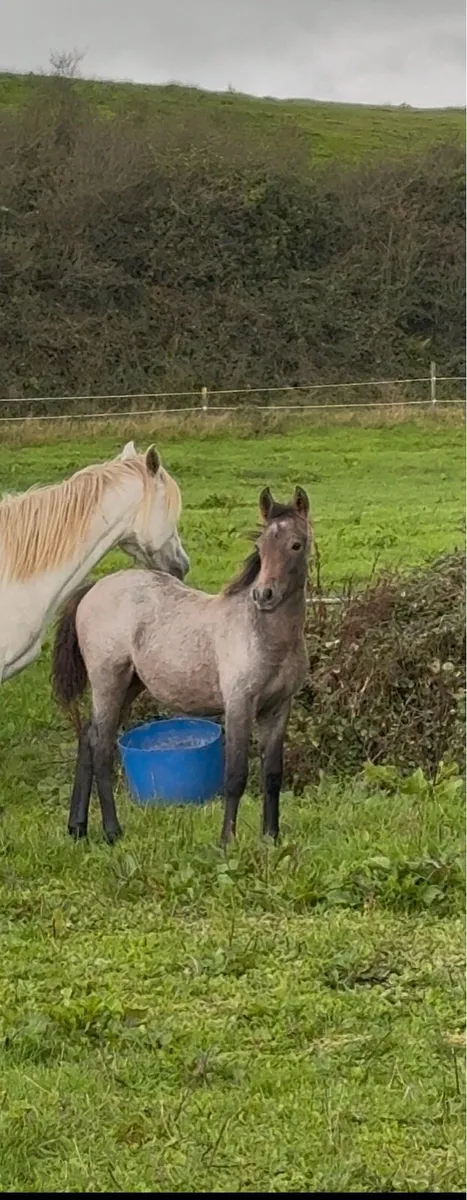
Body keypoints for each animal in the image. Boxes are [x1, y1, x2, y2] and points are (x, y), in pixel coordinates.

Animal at [52, 485, 311, 846]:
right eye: (260, 547)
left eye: (296, 544)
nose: (264, 595)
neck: (263, 633)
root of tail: (94, 588)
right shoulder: (239, 706)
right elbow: (236, 775)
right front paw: (226, 842)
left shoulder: (278, 708)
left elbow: (272, 774)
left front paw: (271, 838)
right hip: (107, 680)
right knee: (101, 747)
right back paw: (112, 831)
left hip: (130, 685)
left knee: (88, 738)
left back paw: (77, 827)